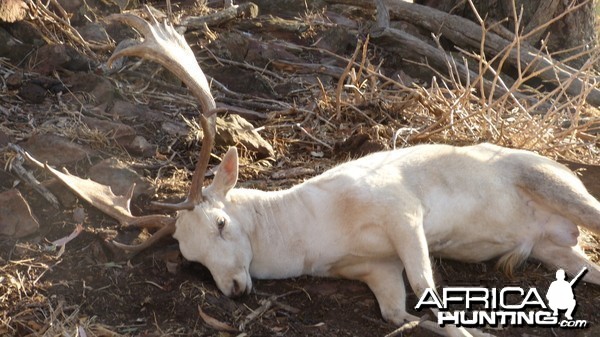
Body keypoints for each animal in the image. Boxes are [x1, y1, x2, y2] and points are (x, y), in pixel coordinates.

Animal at [21, 12, 596, 336]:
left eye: (222, 225)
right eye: (189, 258)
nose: (234, 289)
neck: (319, 235)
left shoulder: (401, 209)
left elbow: (427, 287)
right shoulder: (372, 268)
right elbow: (400, 314)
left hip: (557, 185)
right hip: (555, 249)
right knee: (585, 262)